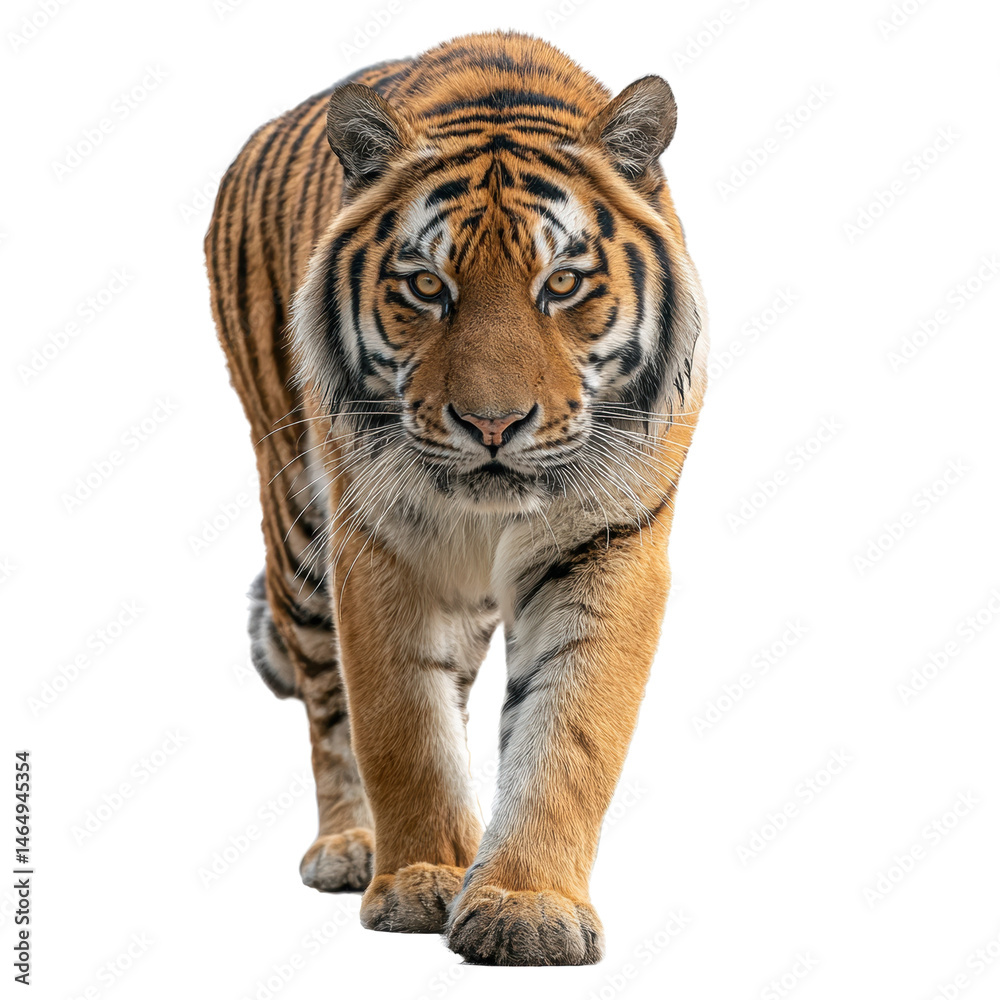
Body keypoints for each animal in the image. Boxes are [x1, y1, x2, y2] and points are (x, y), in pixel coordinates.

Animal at [205, 30, 707, 966]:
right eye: (427, 287)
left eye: (562, 284)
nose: (493, 423)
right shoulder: (382, 543)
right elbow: (401, 723)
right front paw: (421, 879)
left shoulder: (610, 543)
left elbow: (568, 733)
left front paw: (528, 905)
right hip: (297, 528)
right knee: (328, 699)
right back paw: (349, 846)